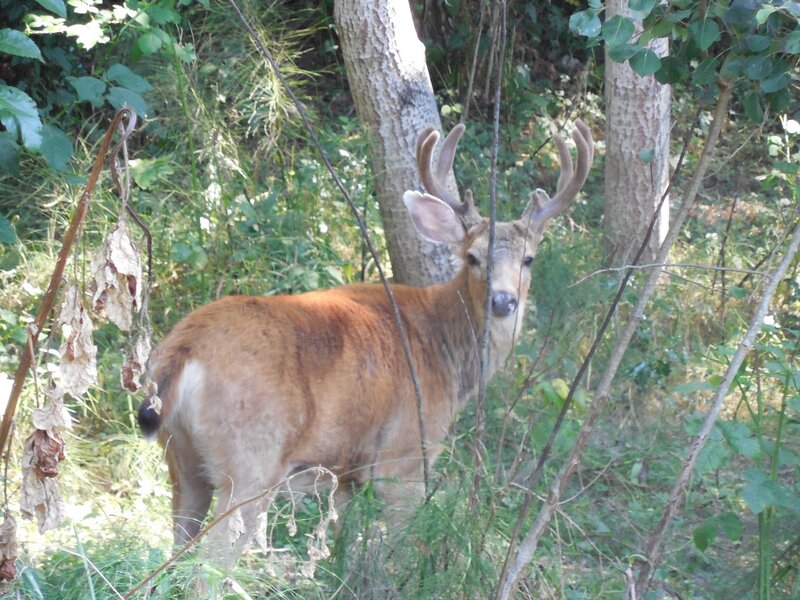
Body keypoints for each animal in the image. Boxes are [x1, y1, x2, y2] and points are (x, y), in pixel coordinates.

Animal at [138, 120, 593, 570]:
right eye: (473, 257)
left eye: (529, 259)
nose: (502, 301)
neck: (443, 351)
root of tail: (184, 348)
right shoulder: (404, 455)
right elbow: (405, 547)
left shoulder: (347, 475)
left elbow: (346, 548)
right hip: (250, 464)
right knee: (208, 567)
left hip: (182, 462)